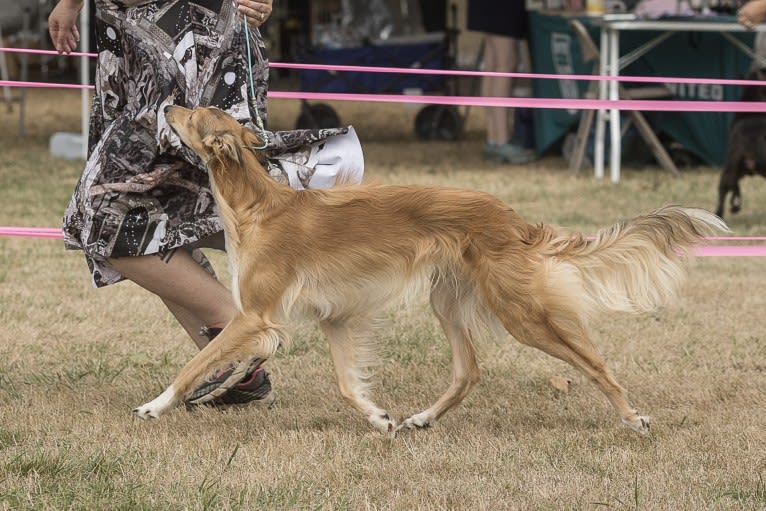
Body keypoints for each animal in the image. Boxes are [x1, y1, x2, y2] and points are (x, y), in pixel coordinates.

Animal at [135, 106, 728, 434]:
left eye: (192, 113)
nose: (166, 102)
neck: (257, 205)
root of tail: (515, 221)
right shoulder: (336, 317)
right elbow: (348, 383)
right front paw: (379, 419)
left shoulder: (255, 317)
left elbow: (194, 364)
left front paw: (154, 406)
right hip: (448, 301)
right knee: (469, 372)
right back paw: (422, 418)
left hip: (522, 314)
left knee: (595, 363)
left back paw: (633, 418)